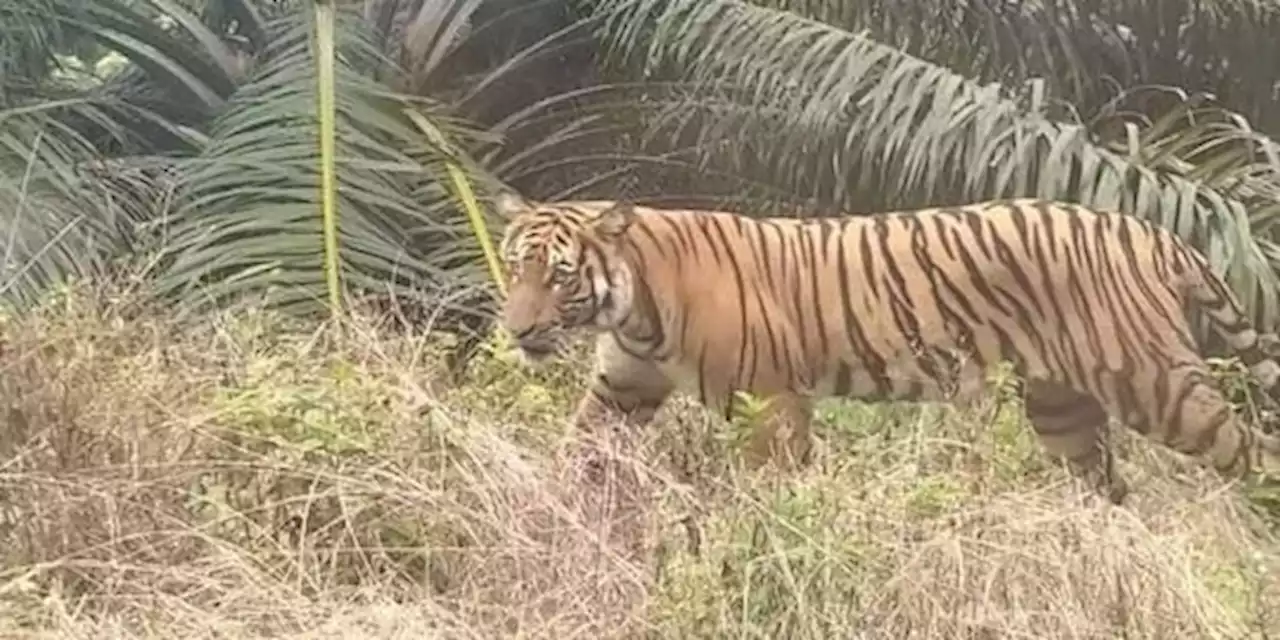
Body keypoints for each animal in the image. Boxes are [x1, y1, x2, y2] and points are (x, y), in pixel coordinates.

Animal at [494, 192, 1280, 501]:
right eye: (514, 266)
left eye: (559, 275)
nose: (518, 329)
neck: (633, 309)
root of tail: (1152, 230)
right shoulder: (623, 388)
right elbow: (578, 451)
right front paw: (544, 510)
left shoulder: (772, 399)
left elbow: (769, 483)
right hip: (1065, 410)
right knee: (1108, 486)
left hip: (1163, 388)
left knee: (1253, 452)